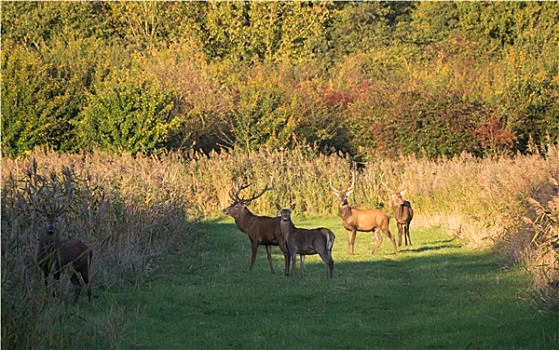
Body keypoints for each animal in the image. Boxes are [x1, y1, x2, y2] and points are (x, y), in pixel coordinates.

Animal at [26, 167, 93, 304]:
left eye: (56, 220)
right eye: (45, 220)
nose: (51, 228)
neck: (48, 254)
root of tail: (90, 250)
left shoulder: (58, 266)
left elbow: (55, 287)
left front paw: (54, 300)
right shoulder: (43, 267)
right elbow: (46, 286)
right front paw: (46, 299)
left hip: (85, 266)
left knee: (88, 284)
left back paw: (90, 303)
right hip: (73, 270)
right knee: (78, 285)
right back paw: (73, 303)